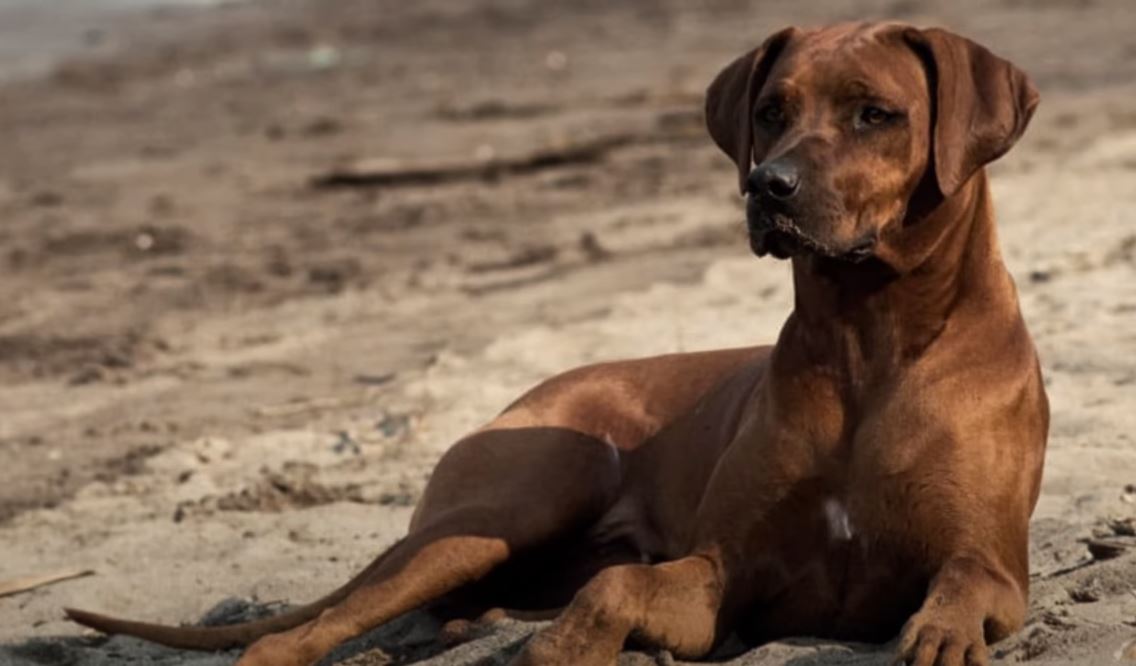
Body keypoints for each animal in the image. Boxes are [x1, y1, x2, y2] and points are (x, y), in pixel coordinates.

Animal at [64, 20, 1045, 663]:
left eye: (876, 114)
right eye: (771, 109)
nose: (768, 186)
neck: (865, 341)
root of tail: (519, 398)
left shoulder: (989, 562)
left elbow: (961, 588)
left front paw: (940, 634)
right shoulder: (721, 573)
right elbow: (615, 592)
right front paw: (578, 646)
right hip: (509, 504)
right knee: (298, 639)